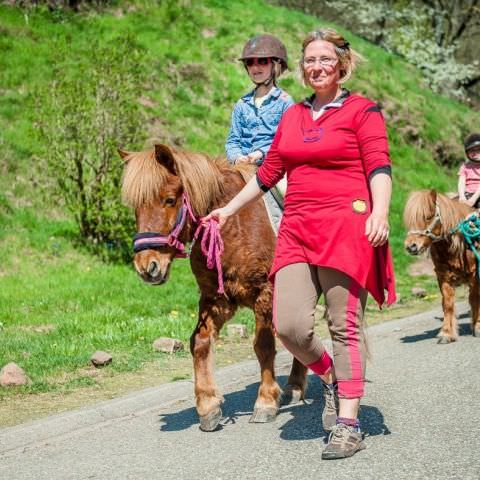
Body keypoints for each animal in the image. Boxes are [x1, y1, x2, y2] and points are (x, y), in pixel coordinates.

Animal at [120, 143, 308, 432]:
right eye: (136, 207)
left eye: (169, 200)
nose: (146, 267)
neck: (233, 224)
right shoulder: (215, 299)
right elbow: (199, 342)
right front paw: (208, 405)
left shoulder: (265, 294)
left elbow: (264, 345)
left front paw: (265, 402)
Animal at [404, 189, 478, 344]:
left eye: (427, 216)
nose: (411, 246)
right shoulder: (443, 276)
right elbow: (447, 304)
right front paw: (447, 333)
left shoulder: (475, 275)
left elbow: (475, 298)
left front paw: (477, 326)